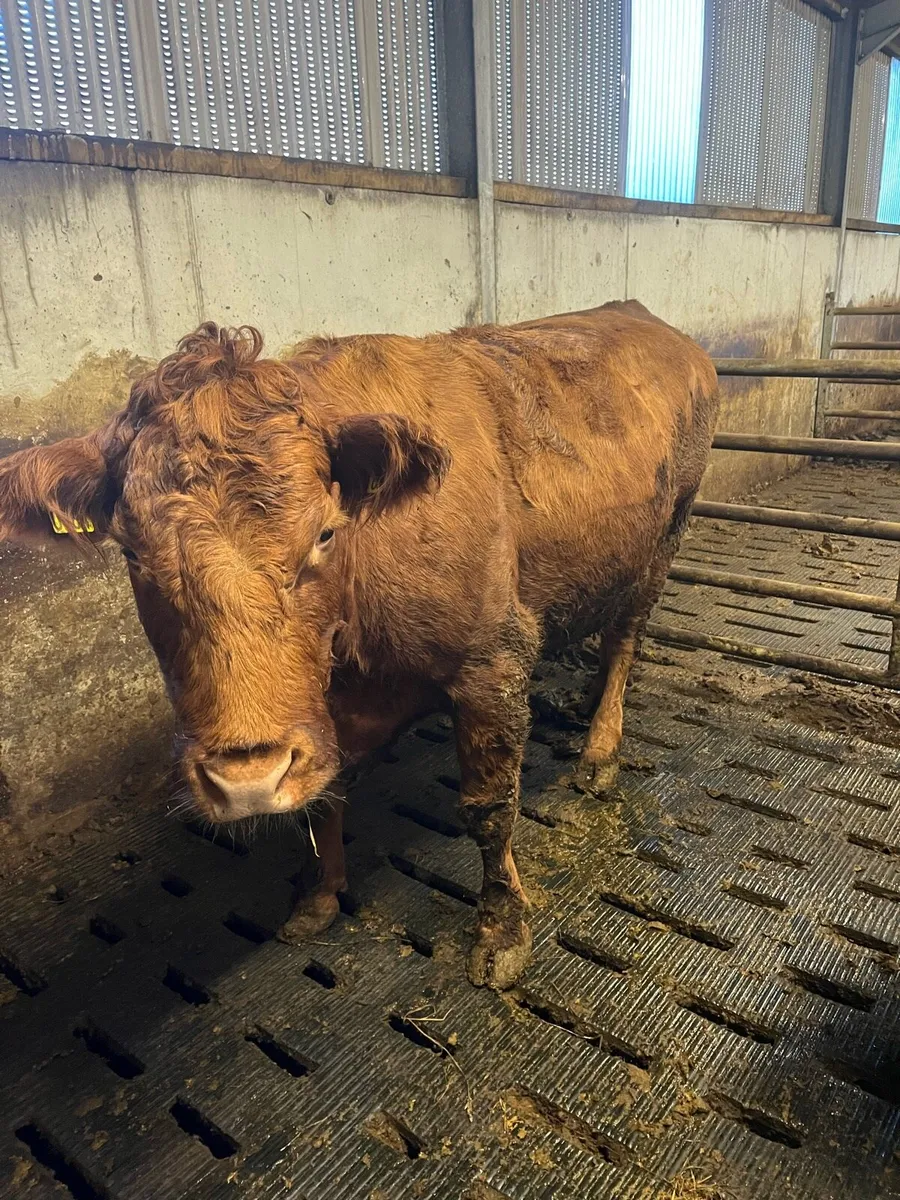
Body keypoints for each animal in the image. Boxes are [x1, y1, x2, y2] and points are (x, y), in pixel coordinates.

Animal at [0, 302, 718, 989]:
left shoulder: (492, 661)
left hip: (666, 535)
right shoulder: (322, 715)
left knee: (625, 639)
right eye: (129, 550)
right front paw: (319, 897)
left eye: (325, 532)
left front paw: (501, 932)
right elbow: (322, 802)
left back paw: (599, 751)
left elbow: (490, 809)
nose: (247, 781)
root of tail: (647, 320)